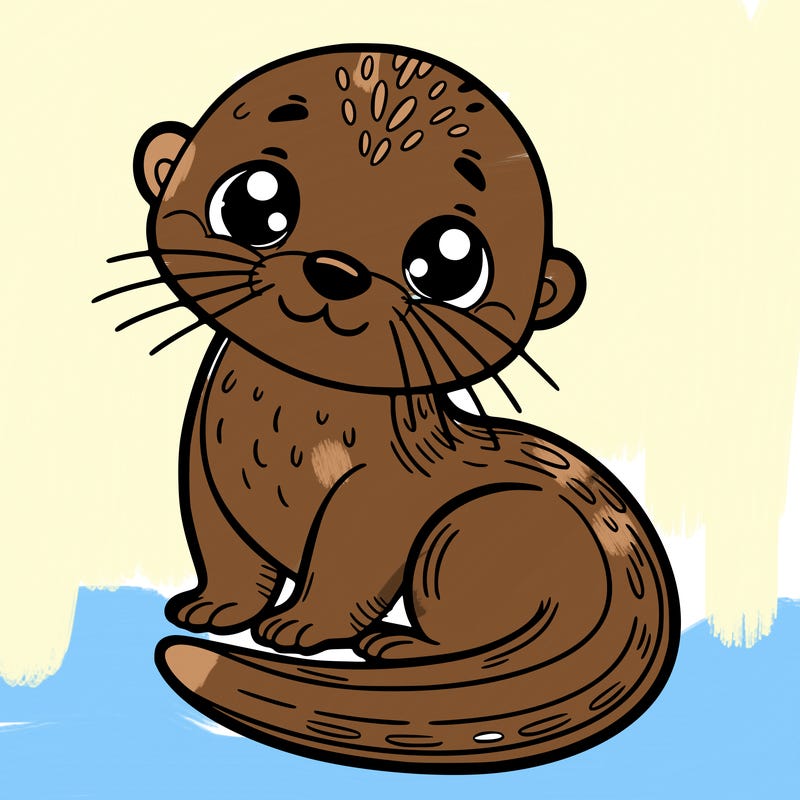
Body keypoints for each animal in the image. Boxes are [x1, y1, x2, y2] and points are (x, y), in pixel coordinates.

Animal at [103, 44, 679, 773]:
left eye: (450, 262)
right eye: (255, 201)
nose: (335, 269)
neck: (286, 436)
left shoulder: (381, 497)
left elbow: (350, 566)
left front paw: (301, 626)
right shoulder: (206, 472)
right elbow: (226, 551)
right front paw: (214, 608)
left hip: (469, 532)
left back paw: (402, 646)